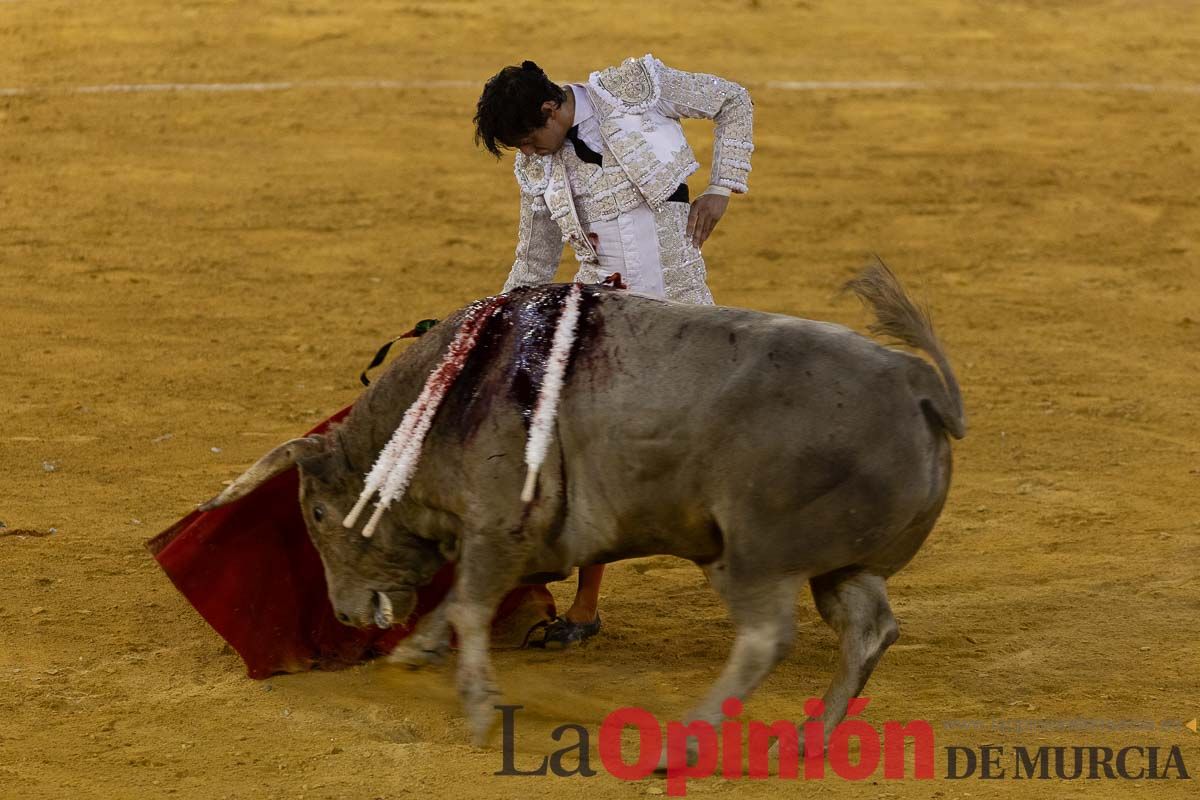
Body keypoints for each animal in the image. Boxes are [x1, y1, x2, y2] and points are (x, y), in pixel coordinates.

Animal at [199, 263, 964, 753]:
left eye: (318, 516)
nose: (347, 614)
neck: (452, 398)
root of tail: (920, 389)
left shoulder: (499, 528)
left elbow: (469, 607)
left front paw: (478, 710)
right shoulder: (508, 543)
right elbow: (458, 603)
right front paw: (417, 653)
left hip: (754, 558)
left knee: (766, 637)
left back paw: (686, 743)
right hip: (842, 566)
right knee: (867, 631)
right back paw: (810, 739)